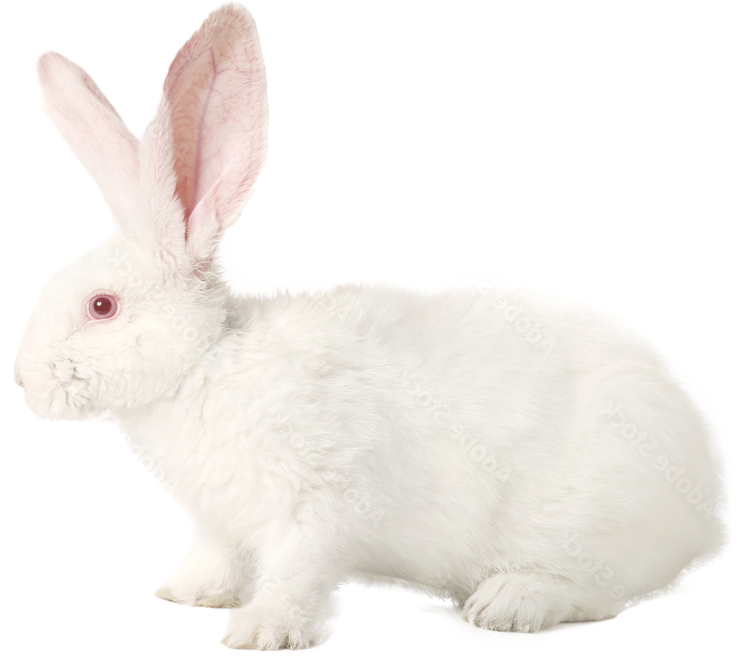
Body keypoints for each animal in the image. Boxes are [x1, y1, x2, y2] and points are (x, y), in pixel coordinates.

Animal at [14, 0, 726, 651]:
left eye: (101, 306)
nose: (21, 380)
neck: (207, 360)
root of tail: (704, 498)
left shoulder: (318, 503)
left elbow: (295, 575)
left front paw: (257, 631)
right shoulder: (222, 522)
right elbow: (218, 557)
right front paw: (185, 594)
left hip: (592, 522)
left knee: (597, 592)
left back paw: (506, 602)